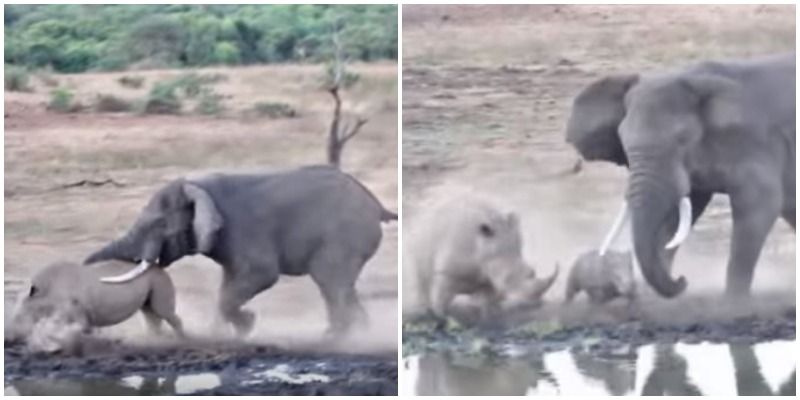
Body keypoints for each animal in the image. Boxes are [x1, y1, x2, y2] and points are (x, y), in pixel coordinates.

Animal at [6, 260, 184, 352]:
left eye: (19, 318)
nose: (9, 339)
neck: (42, 294)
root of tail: (159, 267)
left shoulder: (73, 307)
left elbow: (77, 326)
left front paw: (56, 345)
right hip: (152, 281)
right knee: (149, 312)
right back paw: (154, 339)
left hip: (158, 279)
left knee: (163, 311)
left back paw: (181, 340)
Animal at [83, 166, 396, 338]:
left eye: (159, 224)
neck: (197, 185)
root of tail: (376, 205)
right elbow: (228, 284)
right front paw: (222, 335)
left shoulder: (245, 231)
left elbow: (261, 275)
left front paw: (247, 326)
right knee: (339, 285)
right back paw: (357, 334)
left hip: (345, 236)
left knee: (330, 281)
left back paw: (337, 338)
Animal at [564, 52, 796, 296]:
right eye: (623, 141)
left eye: (682, 139)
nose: (682, 279)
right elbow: (675, 219)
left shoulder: (756, 143)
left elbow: (759, 206)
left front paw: (734, 301)